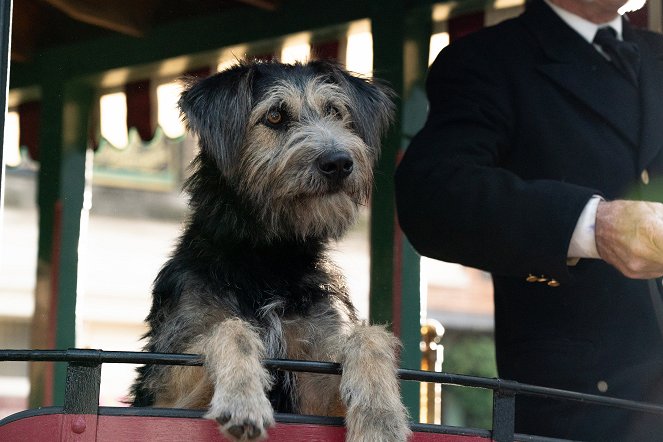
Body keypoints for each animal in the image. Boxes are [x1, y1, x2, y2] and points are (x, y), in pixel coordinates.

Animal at [130, 59, 410, 442]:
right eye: (275, 116)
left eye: (335, 112)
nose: (339, 162)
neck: (270, 259)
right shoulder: (164, 398)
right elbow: (229, 329)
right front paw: (243, 398)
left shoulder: (313, 394)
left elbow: (369, 336)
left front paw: (381, 417)